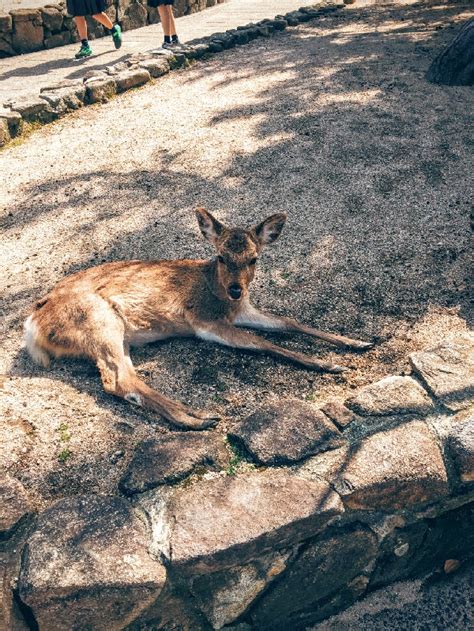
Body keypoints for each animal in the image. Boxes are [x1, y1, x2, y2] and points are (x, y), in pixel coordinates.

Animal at [25, 210, 374, 432]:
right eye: (221, 255)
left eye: (254, 258)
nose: (236, 288)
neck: (217, 292)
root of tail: (33, 326)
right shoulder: (202, 321)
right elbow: (263, 343)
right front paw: (330, 364)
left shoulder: (244, 309)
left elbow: (289, 321)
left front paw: (358, 342)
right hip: (98, 323)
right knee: (117, 380)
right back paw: (199, 420)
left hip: (115, 337)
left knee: (126, 379)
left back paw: (196, 414)